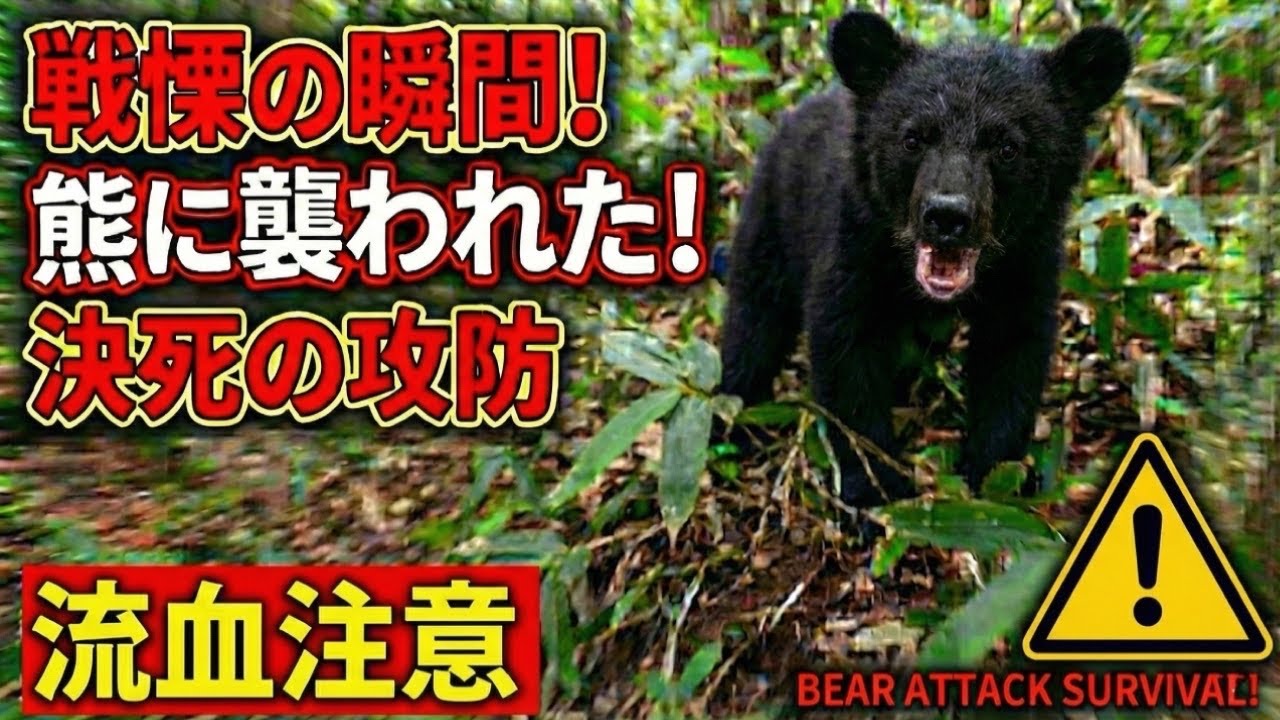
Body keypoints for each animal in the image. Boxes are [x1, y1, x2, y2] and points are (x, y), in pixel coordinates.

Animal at [718, 11, 1132, 508]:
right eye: (913, 138)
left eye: (1007, 147)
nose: (948, 216)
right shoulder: (854, 246)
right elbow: (847, 354)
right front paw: (875, 492)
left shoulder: (1027, 262)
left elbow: (1011, 357)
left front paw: (997, 481)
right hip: (771, 220)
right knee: (755, 319)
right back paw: (733, 420)